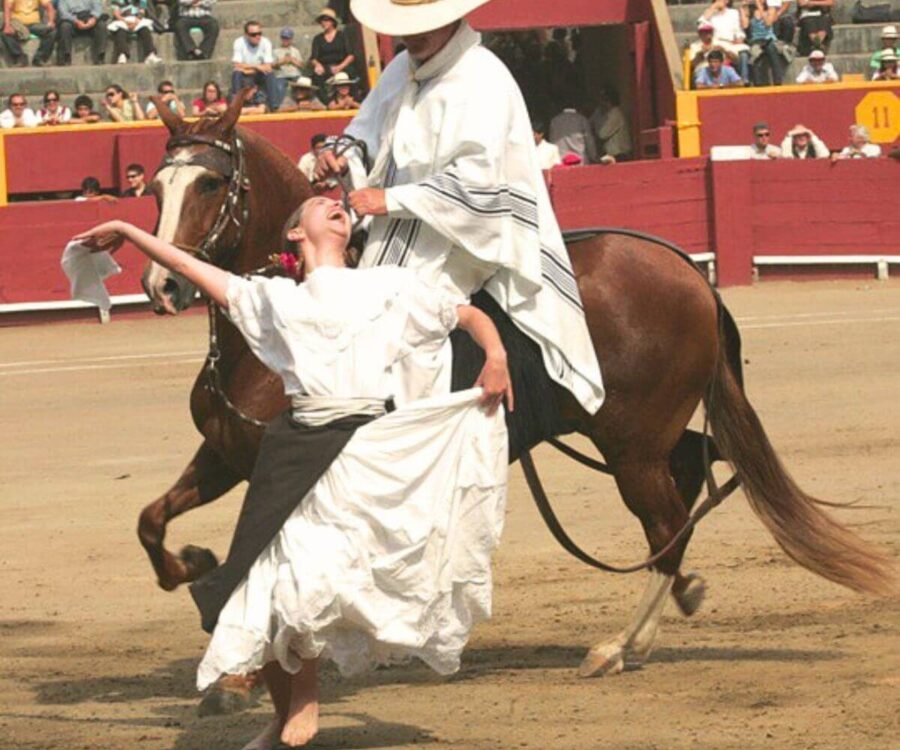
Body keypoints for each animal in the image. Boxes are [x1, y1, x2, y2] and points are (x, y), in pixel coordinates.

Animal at [139, 97, 892, 708]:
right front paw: (194, 568)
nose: (161, 287)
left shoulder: (280, 464)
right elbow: (153, 522)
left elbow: (255, 559)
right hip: (639, 435)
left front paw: (239, 671)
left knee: (667, 525)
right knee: (694, 475)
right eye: (155, 187)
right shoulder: (227, 453)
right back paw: (670, 607)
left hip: (631, 446)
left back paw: (618, 646)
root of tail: (688, 273)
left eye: (210, 181)